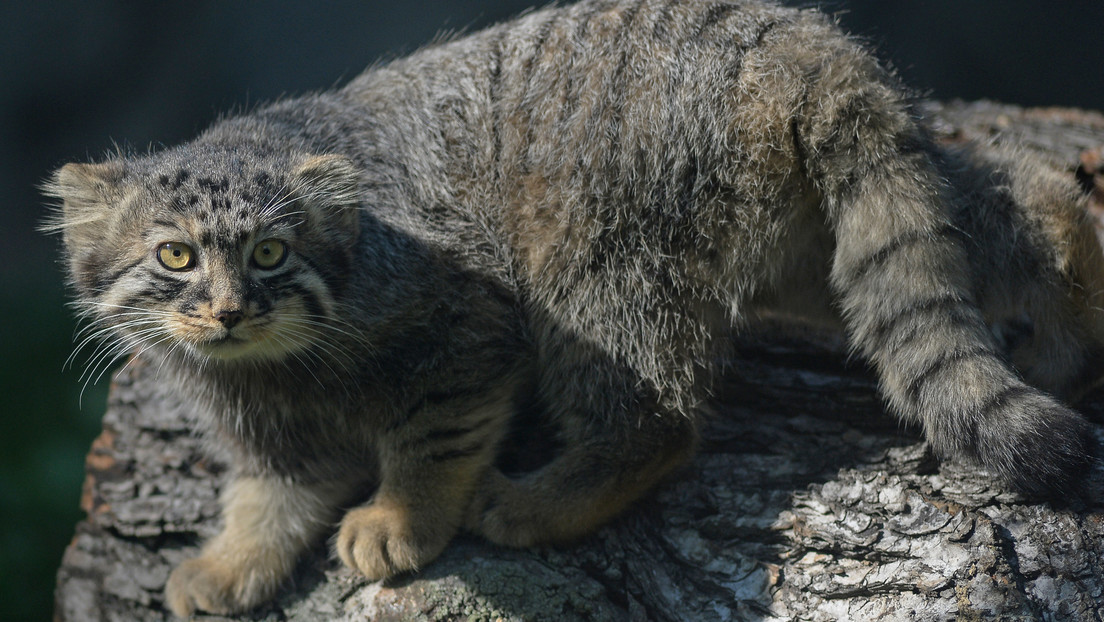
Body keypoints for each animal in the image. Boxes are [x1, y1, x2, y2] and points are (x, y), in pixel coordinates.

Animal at [38, 0, 1099, 614]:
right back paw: (1076, 282)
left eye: (270, 254)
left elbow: (431, 433)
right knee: (1008, 201)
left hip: (587, 255)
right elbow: (274, 489)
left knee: (660, 422)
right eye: (175, 257)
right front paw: (230, 561)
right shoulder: (267, 421)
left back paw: (547, 499)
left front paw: (401, 519)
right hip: (825, 228)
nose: (225, 313)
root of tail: (789, 35)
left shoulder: (463, 323)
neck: (276, 362)